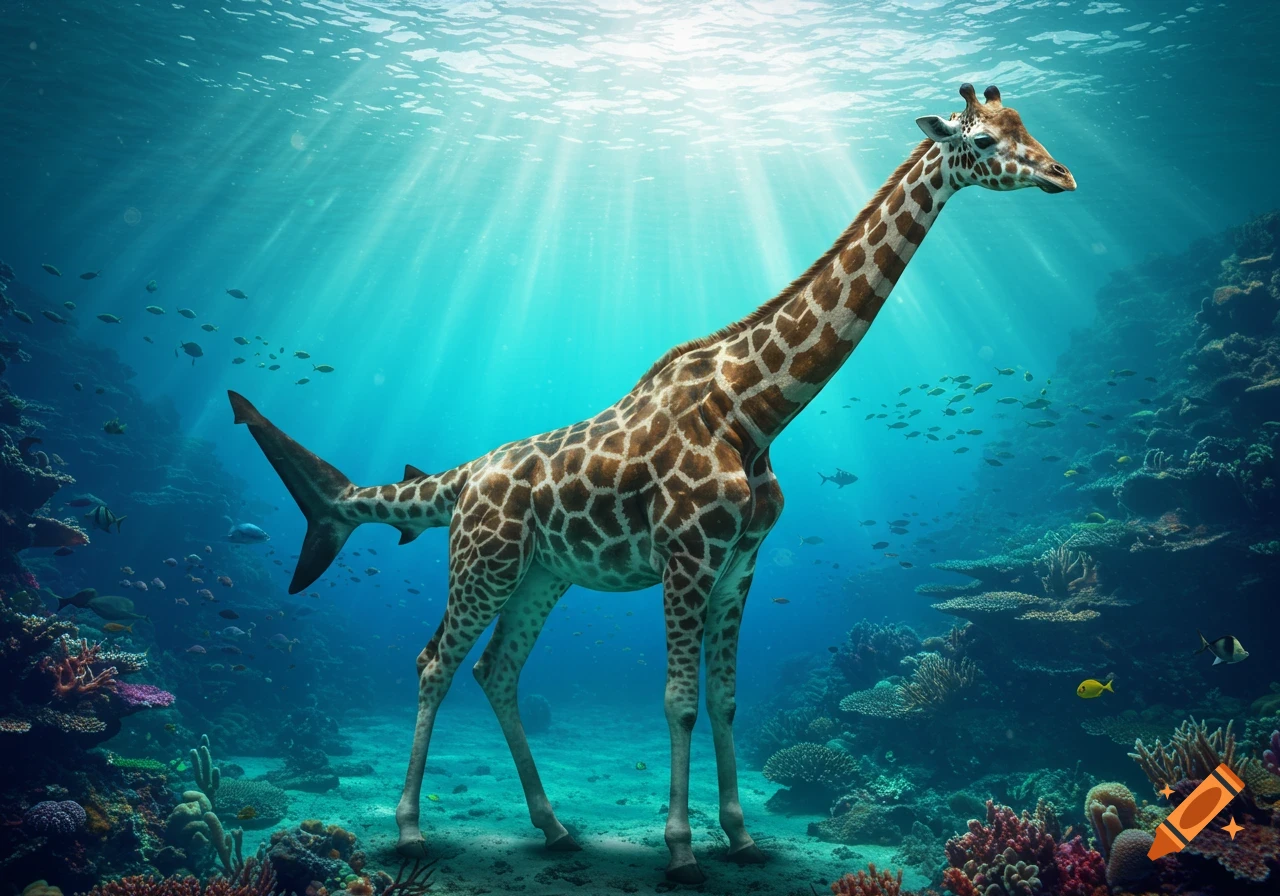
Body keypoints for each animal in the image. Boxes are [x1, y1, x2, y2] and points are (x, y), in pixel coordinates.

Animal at [228, 83, 1074, 884]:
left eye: (1029, 125)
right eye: (982, 141)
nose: (1062, 175)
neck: (753, 409)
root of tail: (462, 478)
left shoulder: (740, 567)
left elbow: (726, 700)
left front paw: (742, 839)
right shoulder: (687, 558)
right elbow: (679, 702)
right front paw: (682, 850)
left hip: (541, 575)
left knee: (497, 670)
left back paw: (555, 827)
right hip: (482, 562)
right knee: (433, 662)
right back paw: (409, 830)